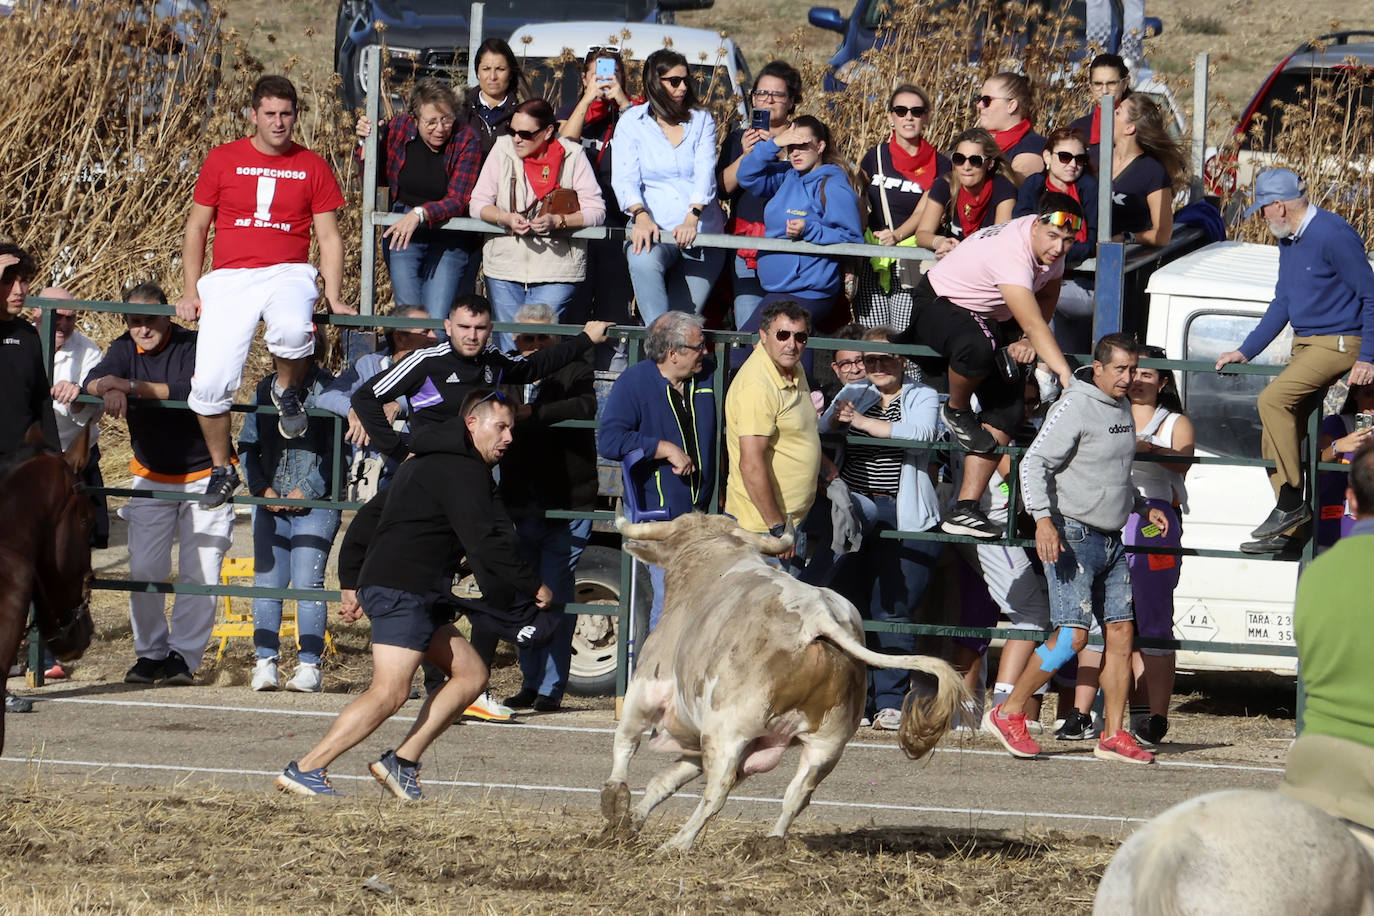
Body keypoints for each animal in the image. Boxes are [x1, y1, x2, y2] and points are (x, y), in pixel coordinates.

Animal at [601, 516, 967, 851]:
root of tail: (818, 617)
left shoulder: (645, 692)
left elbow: (624, 744)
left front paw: (615, 804)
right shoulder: (696, 741)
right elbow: (663, 782)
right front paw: (632, 821)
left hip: (726, 733)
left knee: (718, 790)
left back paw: (678, 843)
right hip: (826, 745)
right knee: (797, 794)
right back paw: (771, 842)